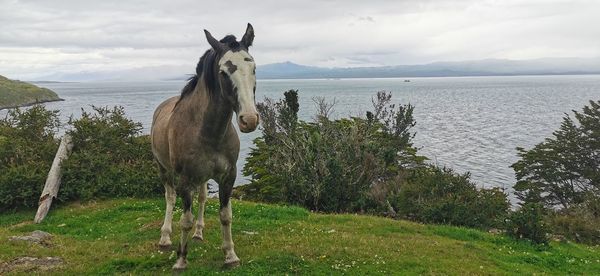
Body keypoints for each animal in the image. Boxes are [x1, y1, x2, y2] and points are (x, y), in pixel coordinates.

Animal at [150, 23, 258, 270]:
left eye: (254, 67)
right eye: (224, 72)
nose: (249, 119)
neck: (209, 132)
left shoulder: (228, 177)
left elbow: (225, 215)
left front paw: (230, 255)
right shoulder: (185, 180)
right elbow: (185, 220)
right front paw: (181, 259)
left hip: (202, 177)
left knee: (201, 198)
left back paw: (199, 233)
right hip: (164, 169)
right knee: (169, 198)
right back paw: (165, 237)